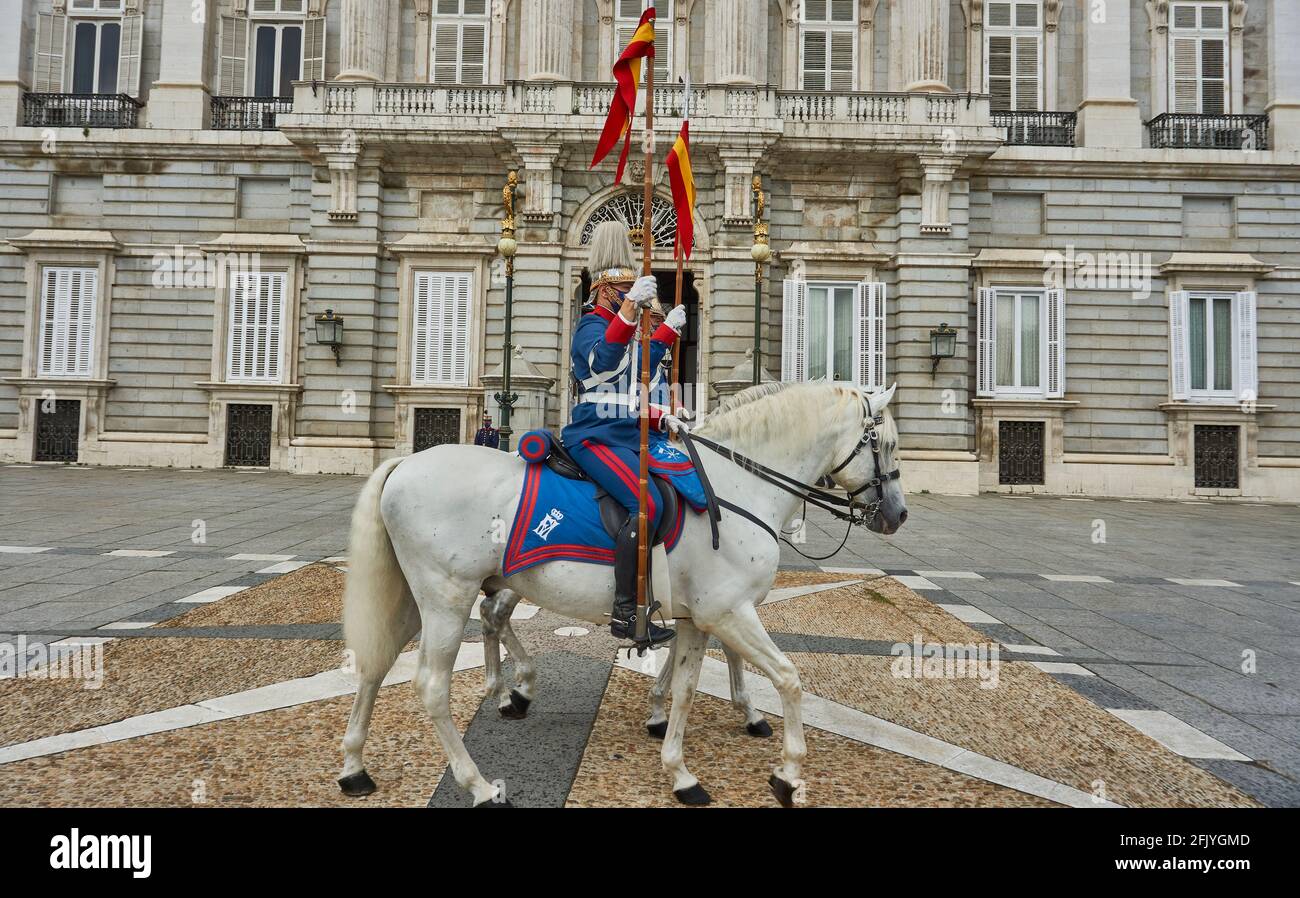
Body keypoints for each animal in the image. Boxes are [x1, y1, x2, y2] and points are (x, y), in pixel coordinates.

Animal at [335, 379, 904, 805]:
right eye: (886, 444)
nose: (897, 515)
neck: (736, 486)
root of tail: (405, 464)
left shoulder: (701, 618)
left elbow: (687, 687)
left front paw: (680, 767)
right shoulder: (729, 611)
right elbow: (787, 678)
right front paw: (787, 774)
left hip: (421, 599)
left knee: (379, 662)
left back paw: (357, 766)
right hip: (446, 599)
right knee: (433, 684)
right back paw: (478, 780)